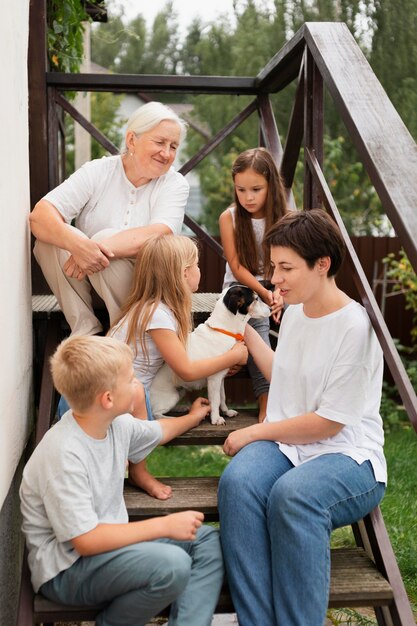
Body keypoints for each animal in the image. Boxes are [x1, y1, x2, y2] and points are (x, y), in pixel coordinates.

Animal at [150, 284, 270, 424]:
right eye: (256, 299)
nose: (271, 308)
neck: (224, 330)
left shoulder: (221, 378)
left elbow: (222, 397)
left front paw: (226, 412)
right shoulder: (214, 379)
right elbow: (215, 400)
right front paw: (216, 418)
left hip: (181, 392)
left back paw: (181, 408)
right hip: (172, 396)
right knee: (155, 414)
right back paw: (171, 418)